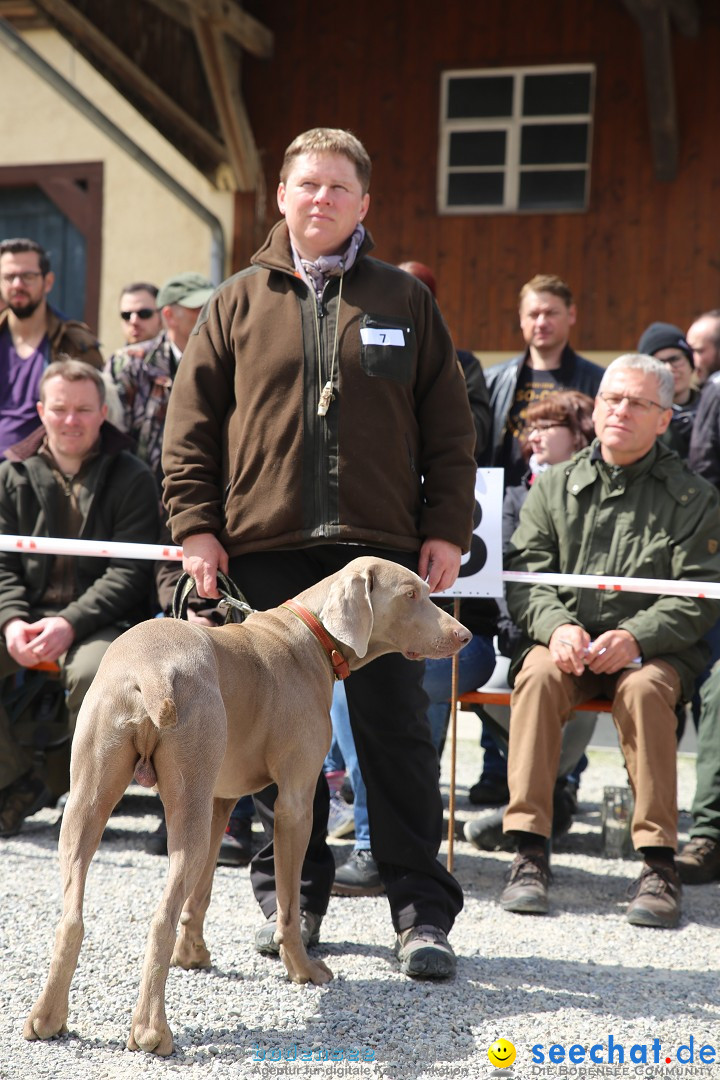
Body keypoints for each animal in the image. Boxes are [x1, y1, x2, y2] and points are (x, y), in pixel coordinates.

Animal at [23, 557, 472, 1054]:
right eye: (412, 595)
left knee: (72, 916)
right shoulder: (295, 802)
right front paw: (302, 968)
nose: (465, 635)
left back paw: (47, 1017)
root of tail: (149, 669)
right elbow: (289, 901)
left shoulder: (220, 799)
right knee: (159, 917)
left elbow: (201, 891)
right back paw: (151, 1030)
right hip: (185, 806)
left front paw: (193, 955)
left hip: (93, 802)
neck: (310, 636)